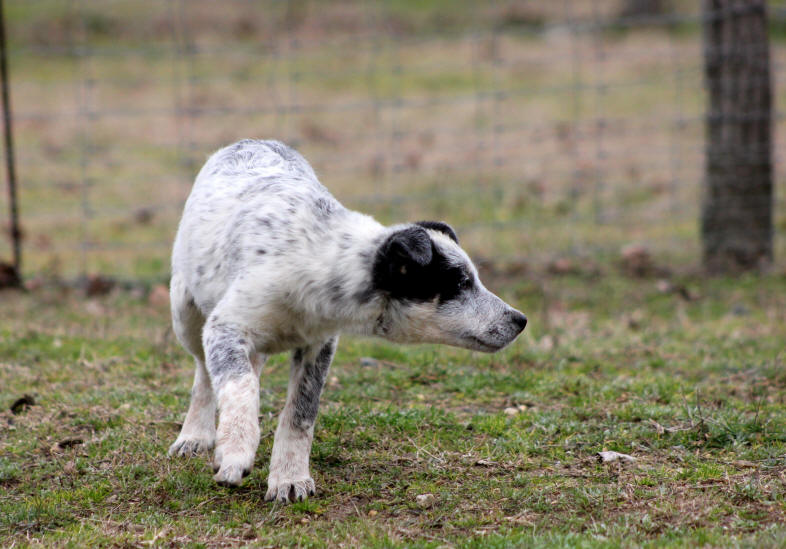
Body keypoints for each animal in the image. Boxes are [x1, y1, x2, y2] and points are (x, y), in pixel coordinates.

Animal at [166, 140, 528, 500]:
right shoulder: (225, 327)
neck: (319, 261)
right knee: (204, 374)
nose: (520, 320)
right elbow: (239, 388)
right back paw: (195, 435)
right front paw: (235, 451)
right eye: (461, 283)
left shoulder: (319, 345)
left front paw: (289, 478)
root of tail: (250, 140)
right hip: (187, 315)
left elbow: (300, 414)